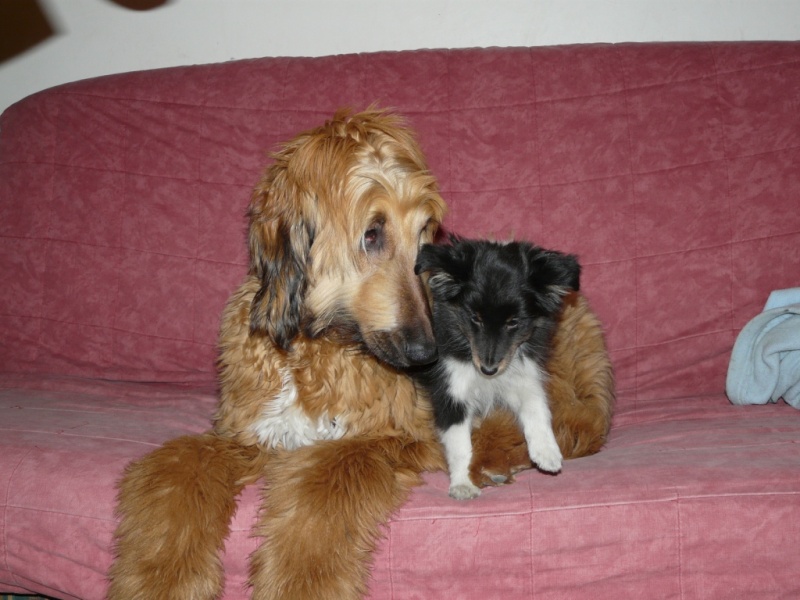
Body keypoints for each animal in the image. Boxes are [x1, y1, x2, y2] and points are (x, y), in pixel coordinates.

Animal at [412, 237, 580, 500]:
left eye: (514, 322)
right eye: (475, 317)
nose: (488, 370)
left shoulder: (522, 374)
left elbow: (537, 405)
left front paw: (547, 453)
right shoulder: (451, 391)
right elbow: (459, 444)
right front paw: (463, 484)